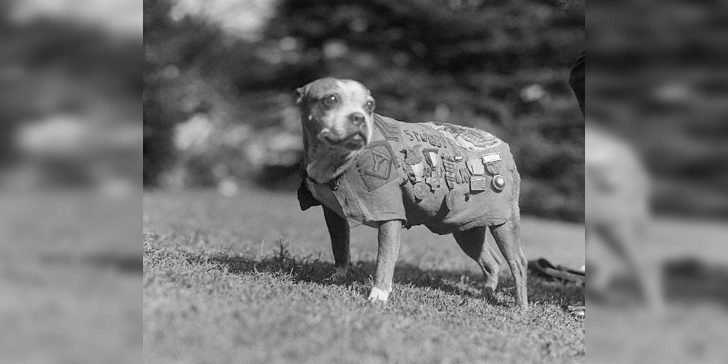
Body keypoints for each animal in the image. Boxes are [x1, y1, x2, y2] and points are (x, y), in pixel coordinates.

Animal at [292, 78, 528, 308]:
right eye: (330, 100)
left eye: (370, 105)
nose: (358, 117)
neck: (337, 159)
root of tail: (503, 145)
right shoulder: (333, 215)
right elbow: (340, 248)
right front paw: (337, 278)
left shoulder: (390, 217)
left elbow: (384, 259)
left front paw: (378, 295)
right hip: (467, 228)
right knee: (491, 262)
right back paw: (485, 295)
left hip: (504, 223)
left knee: (518, 262)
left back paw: (520, 306)